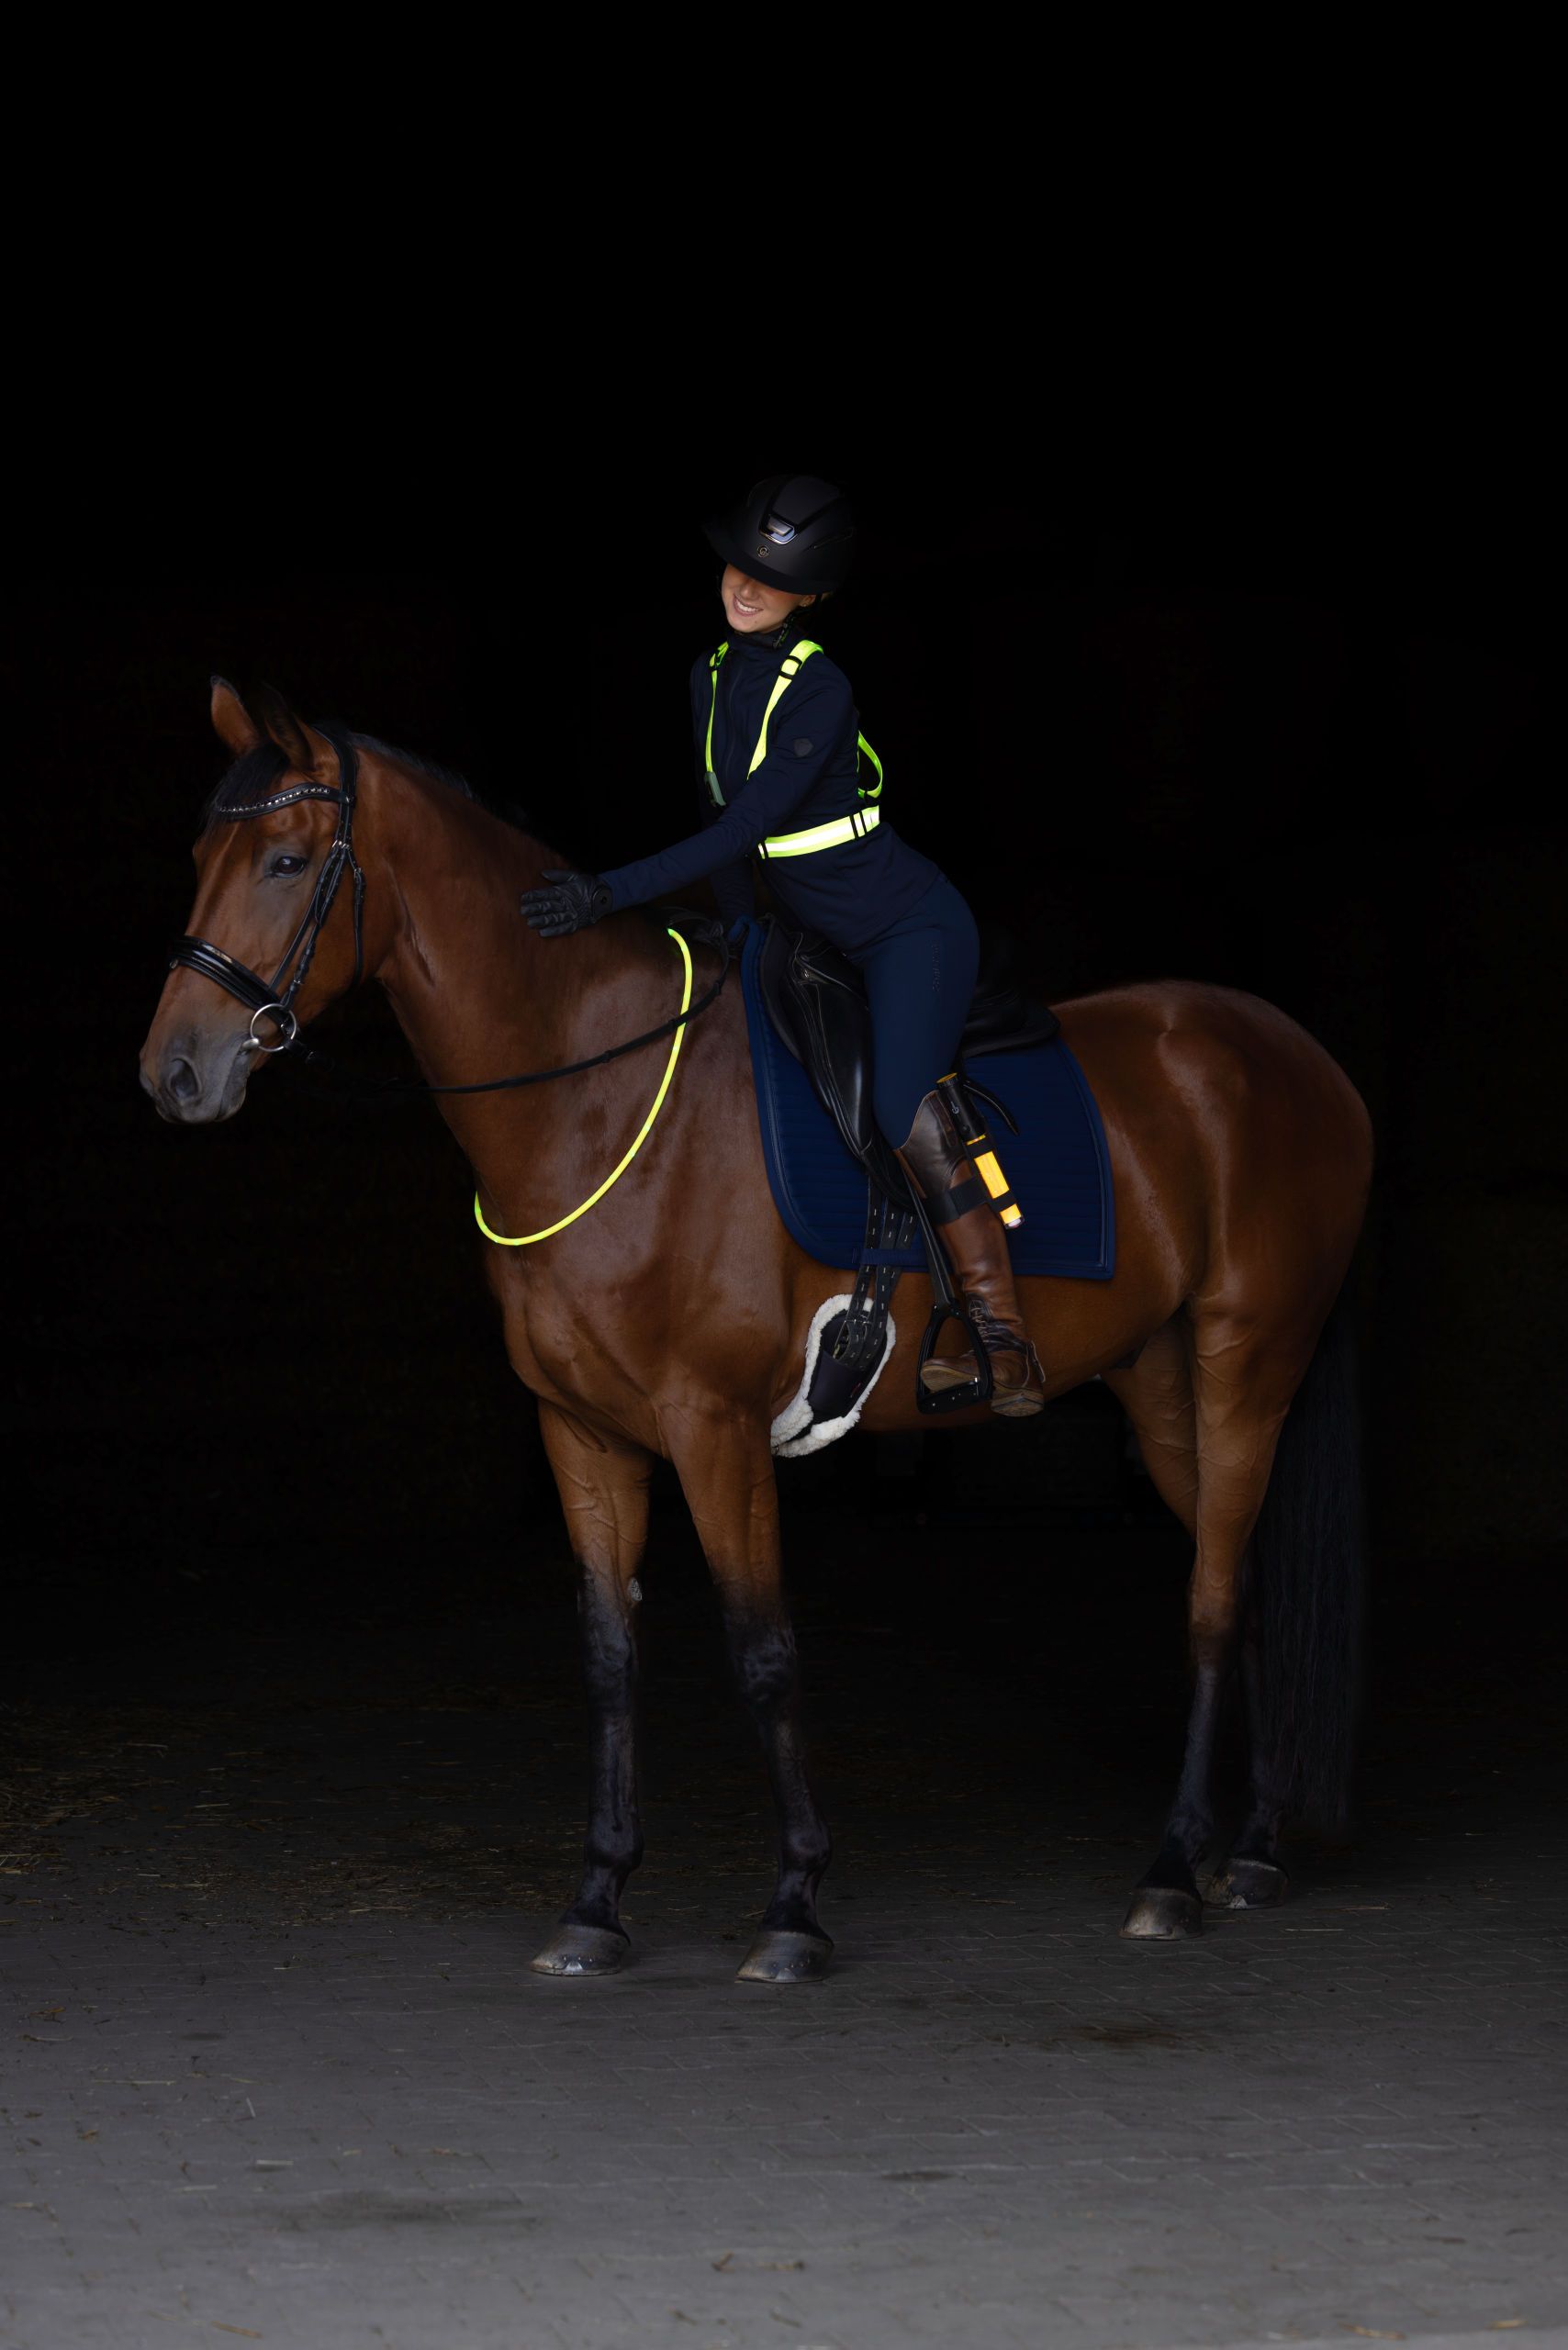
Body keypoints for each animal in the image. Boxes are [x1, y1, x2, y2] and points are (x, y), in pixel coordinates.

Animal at [139, 679, 1373, 1983]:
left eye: (284, 861)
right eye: (201, 858)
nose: (175, 1071)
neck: (590, 1096)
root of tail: (1295, 1052)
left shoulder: (716, 1426)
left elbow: (762, 1648)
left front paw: (792, 1902)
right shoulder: (580, 1431)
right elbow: (609, 1655)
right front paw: (597, 1898)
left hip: (1247, 1366)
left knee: (1211, 1601)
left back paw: (1173, 1869)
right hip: (1163, 1383)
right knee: (1234, 1578)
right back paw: (1250, 1849)